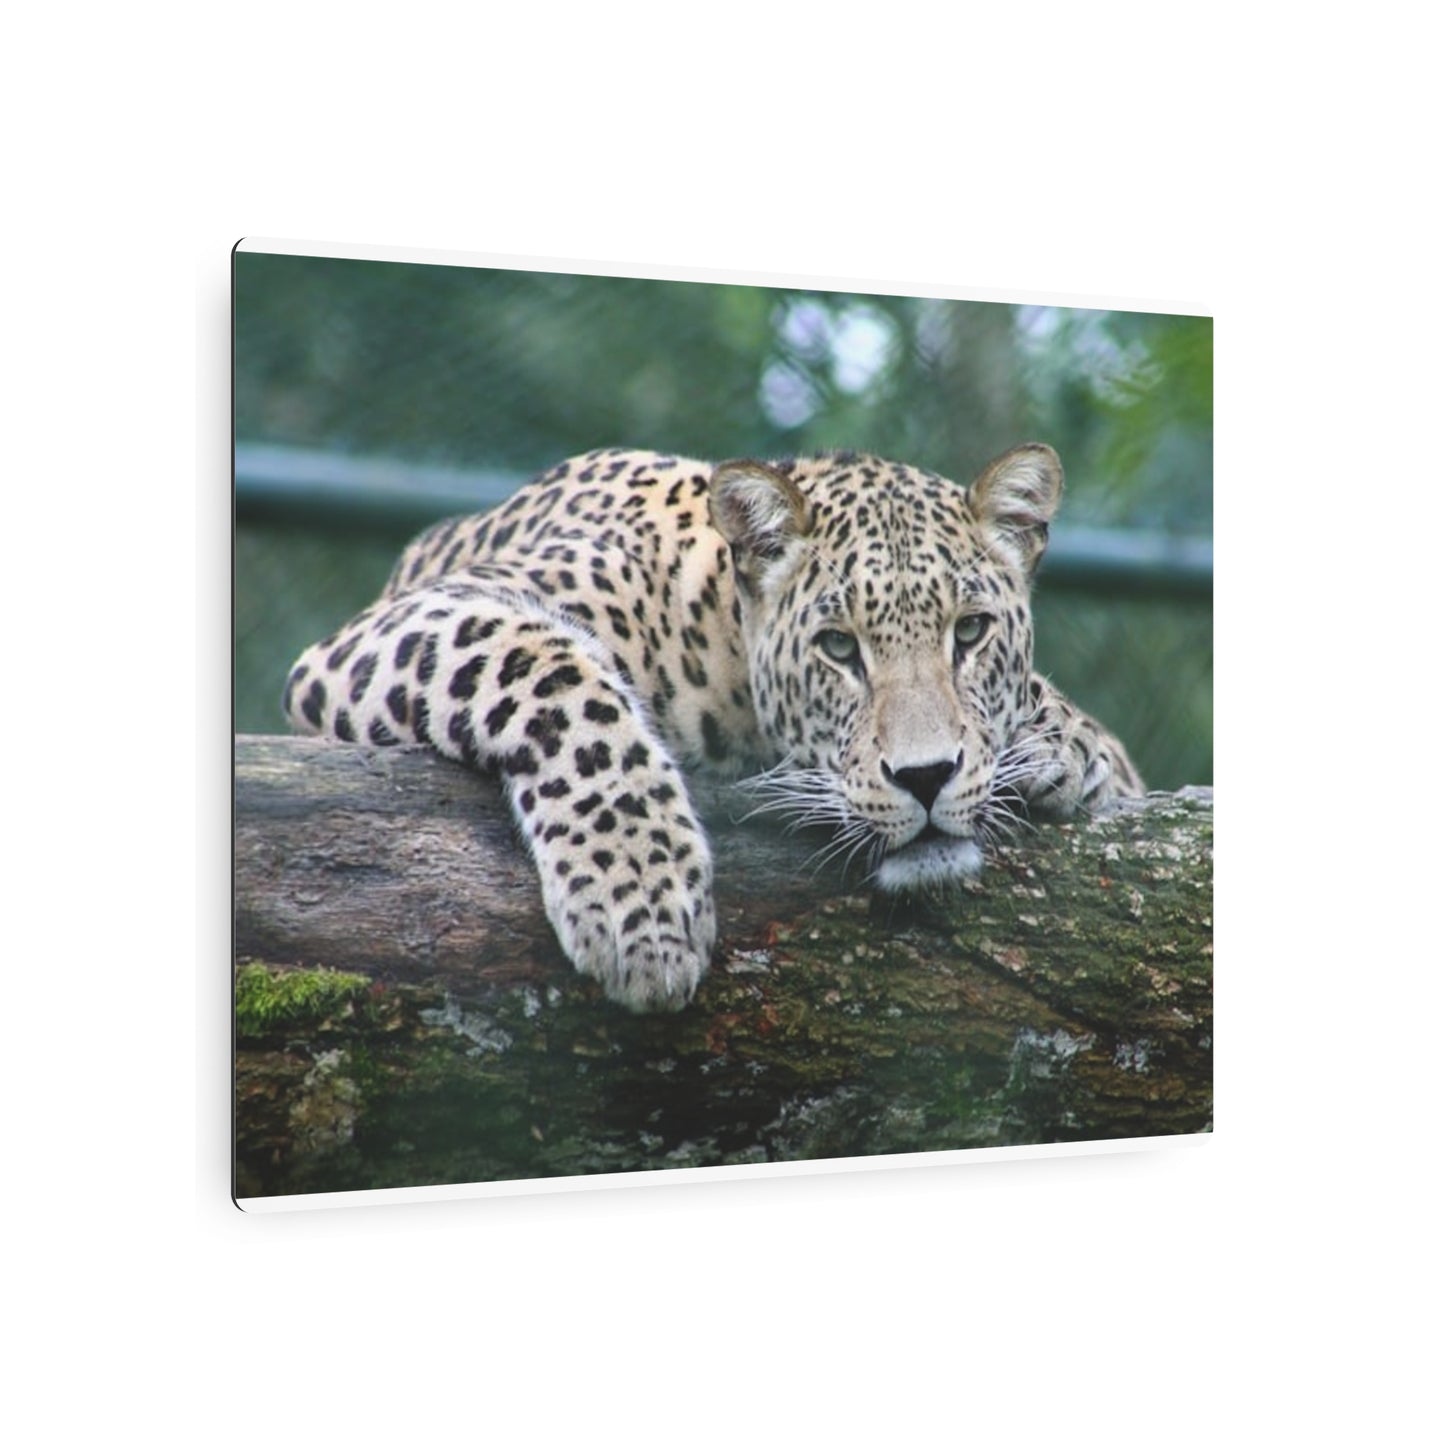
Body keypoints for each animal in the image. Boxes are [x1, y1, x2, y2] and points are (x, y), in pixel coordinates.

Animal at [283, 444, 1143, 1013]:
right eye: (838, 647)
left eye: (969, 632)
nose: (925, 776)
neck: (719, 637)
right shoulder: (398, 626)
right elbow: (556, 672)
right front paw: (640, 900)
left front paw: (1068, 747)